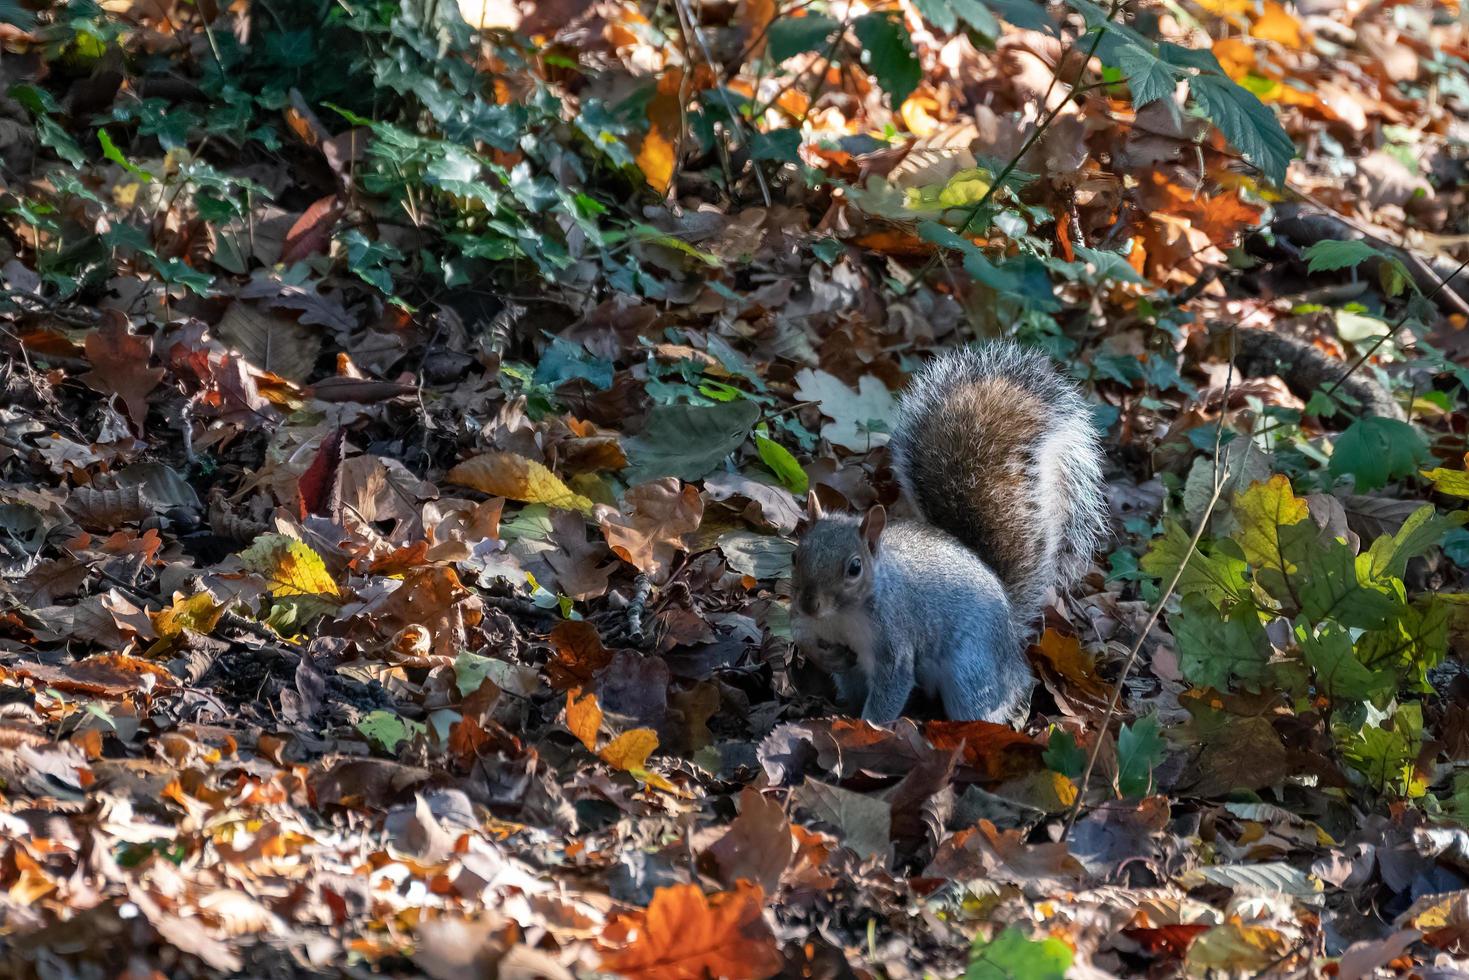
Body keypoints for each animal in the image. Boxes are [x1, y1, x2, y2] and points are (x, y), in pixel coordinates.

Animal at [793, 340, 1104, 725]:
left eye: (854, 568)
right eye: (796, 555)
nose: (808, 604)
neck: (841, 617)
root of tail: (1012, 646)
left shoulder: (895, 641)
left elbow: (891, 689)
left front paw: (868, 728)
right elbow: (806, 640)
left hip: (972, 673)